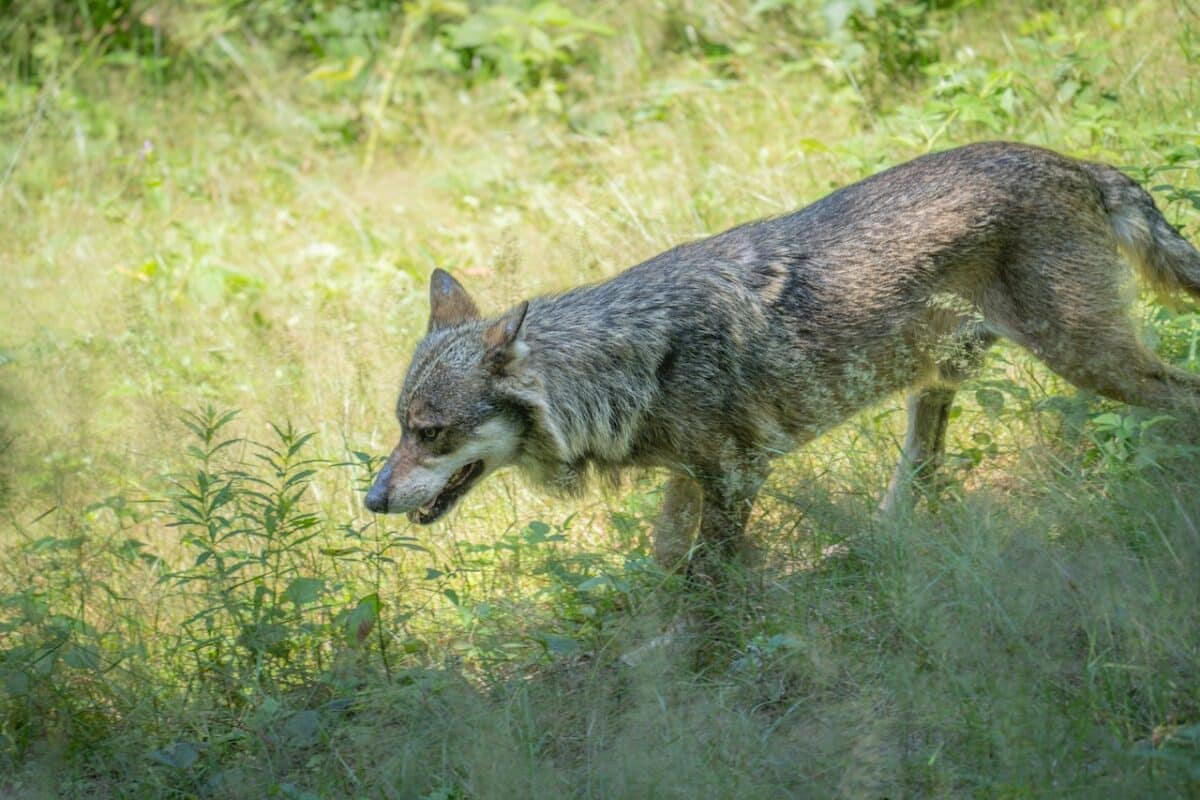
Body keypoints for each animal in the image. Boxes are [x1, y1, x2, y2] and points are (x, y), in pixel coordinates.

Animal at [362, 143, 1200, 582]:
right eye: (400, 427)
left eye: (431, 433)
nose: (370, 500)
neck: (631, 364)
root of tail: (1075, 163)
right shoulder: (690, 479)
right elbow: (667, 562)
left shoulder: (736, 476)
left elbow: (705, 584)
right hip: (934, 388)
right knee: (917, 484)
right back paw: (861, 547)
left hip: (1091, 362)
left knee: (1186, 397)